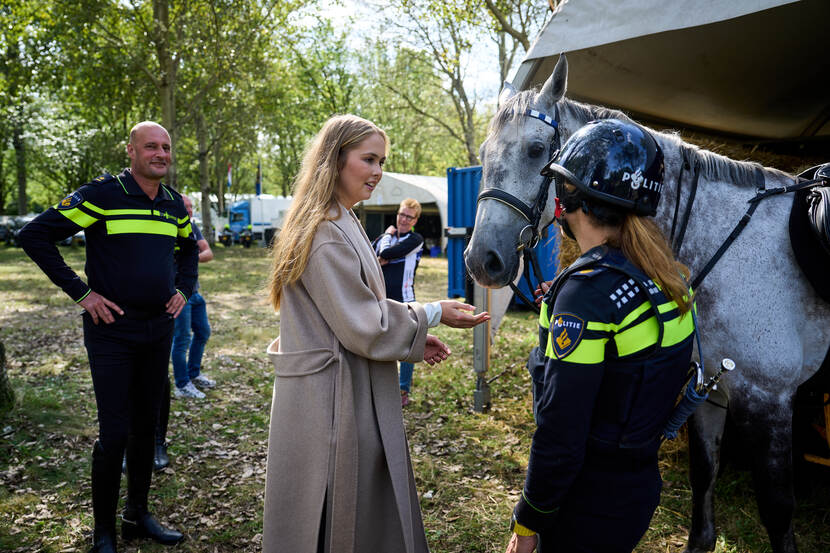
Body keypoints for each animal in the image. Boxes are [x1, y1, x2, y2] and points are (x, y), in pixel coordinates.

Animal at [464, 52, 830, 552]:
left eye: (537, 150)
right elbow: (703, 481)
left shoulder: (769, 400)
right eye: (483, 154)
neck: (731, 249)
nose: (482, 260)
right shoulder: (710, 391)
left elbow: (777, 511)